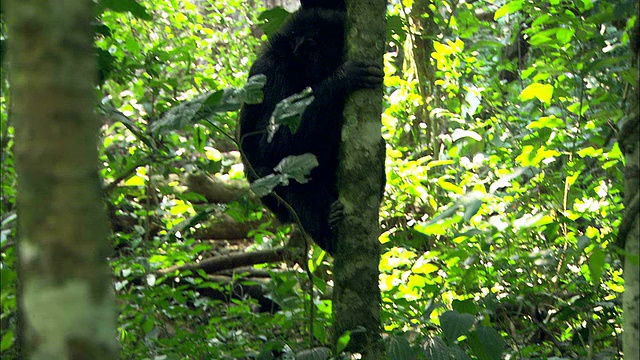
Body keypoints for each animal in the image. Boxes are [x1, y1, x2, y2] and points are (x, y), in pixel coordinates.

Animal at [238, 0, 382, 255]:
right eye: (338, 58)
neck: (297, 65)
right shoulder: (273, 77)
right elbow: (270, 144)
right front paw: (343, 78)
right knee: (285, 172)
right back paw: (328, 225)